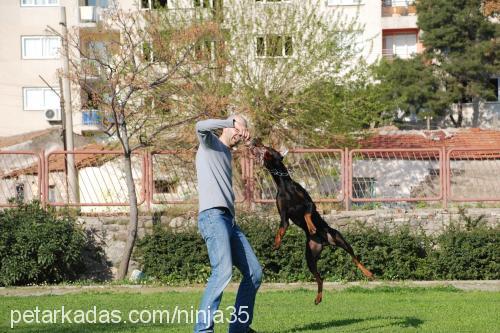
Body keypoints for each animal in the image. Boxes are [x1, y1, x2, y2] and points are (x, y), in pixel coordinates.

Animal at [250, 139, 372, 304]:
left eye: (268, 147)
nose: (254, 141)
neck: (284, 184)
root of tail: (325, 242)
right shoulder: (283, 216)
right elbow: (281, 229)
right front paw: (276, 243)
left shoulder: (309, 204)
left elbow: (307, 214)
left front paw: (311, 226)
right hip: (310, 258)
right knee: (320, 278)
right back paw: (318, 298)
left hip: (340, 239)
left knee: (354, 258)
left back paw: (368, 272)